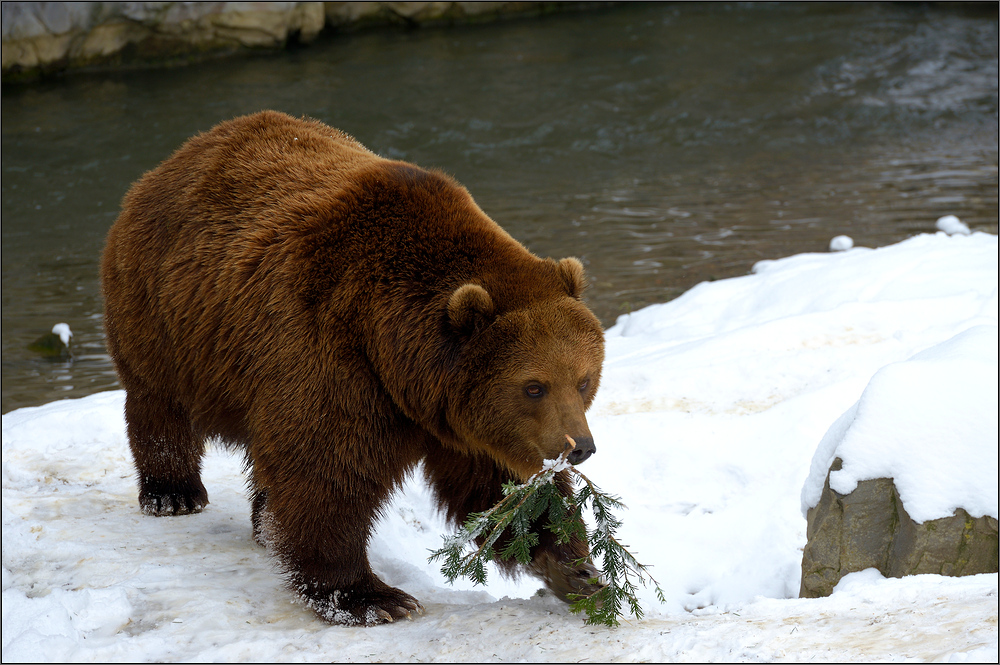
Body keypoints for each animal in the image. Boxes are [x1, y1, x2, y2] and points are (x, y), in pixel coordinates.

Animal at [101, 109, 604, 624]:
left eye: (584, 380)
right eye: (534, 386)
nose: (580, 448)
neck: (397, 352)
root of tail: (177, 158)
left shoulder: (461, 416)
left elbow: (497, 487)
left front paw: (577, 570)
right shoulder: (333, 352)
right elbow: (327, 470)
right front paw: (370, 597)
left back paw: (264, 521)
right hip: (166, 314)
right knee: (159, 402)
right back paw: (173, 493)